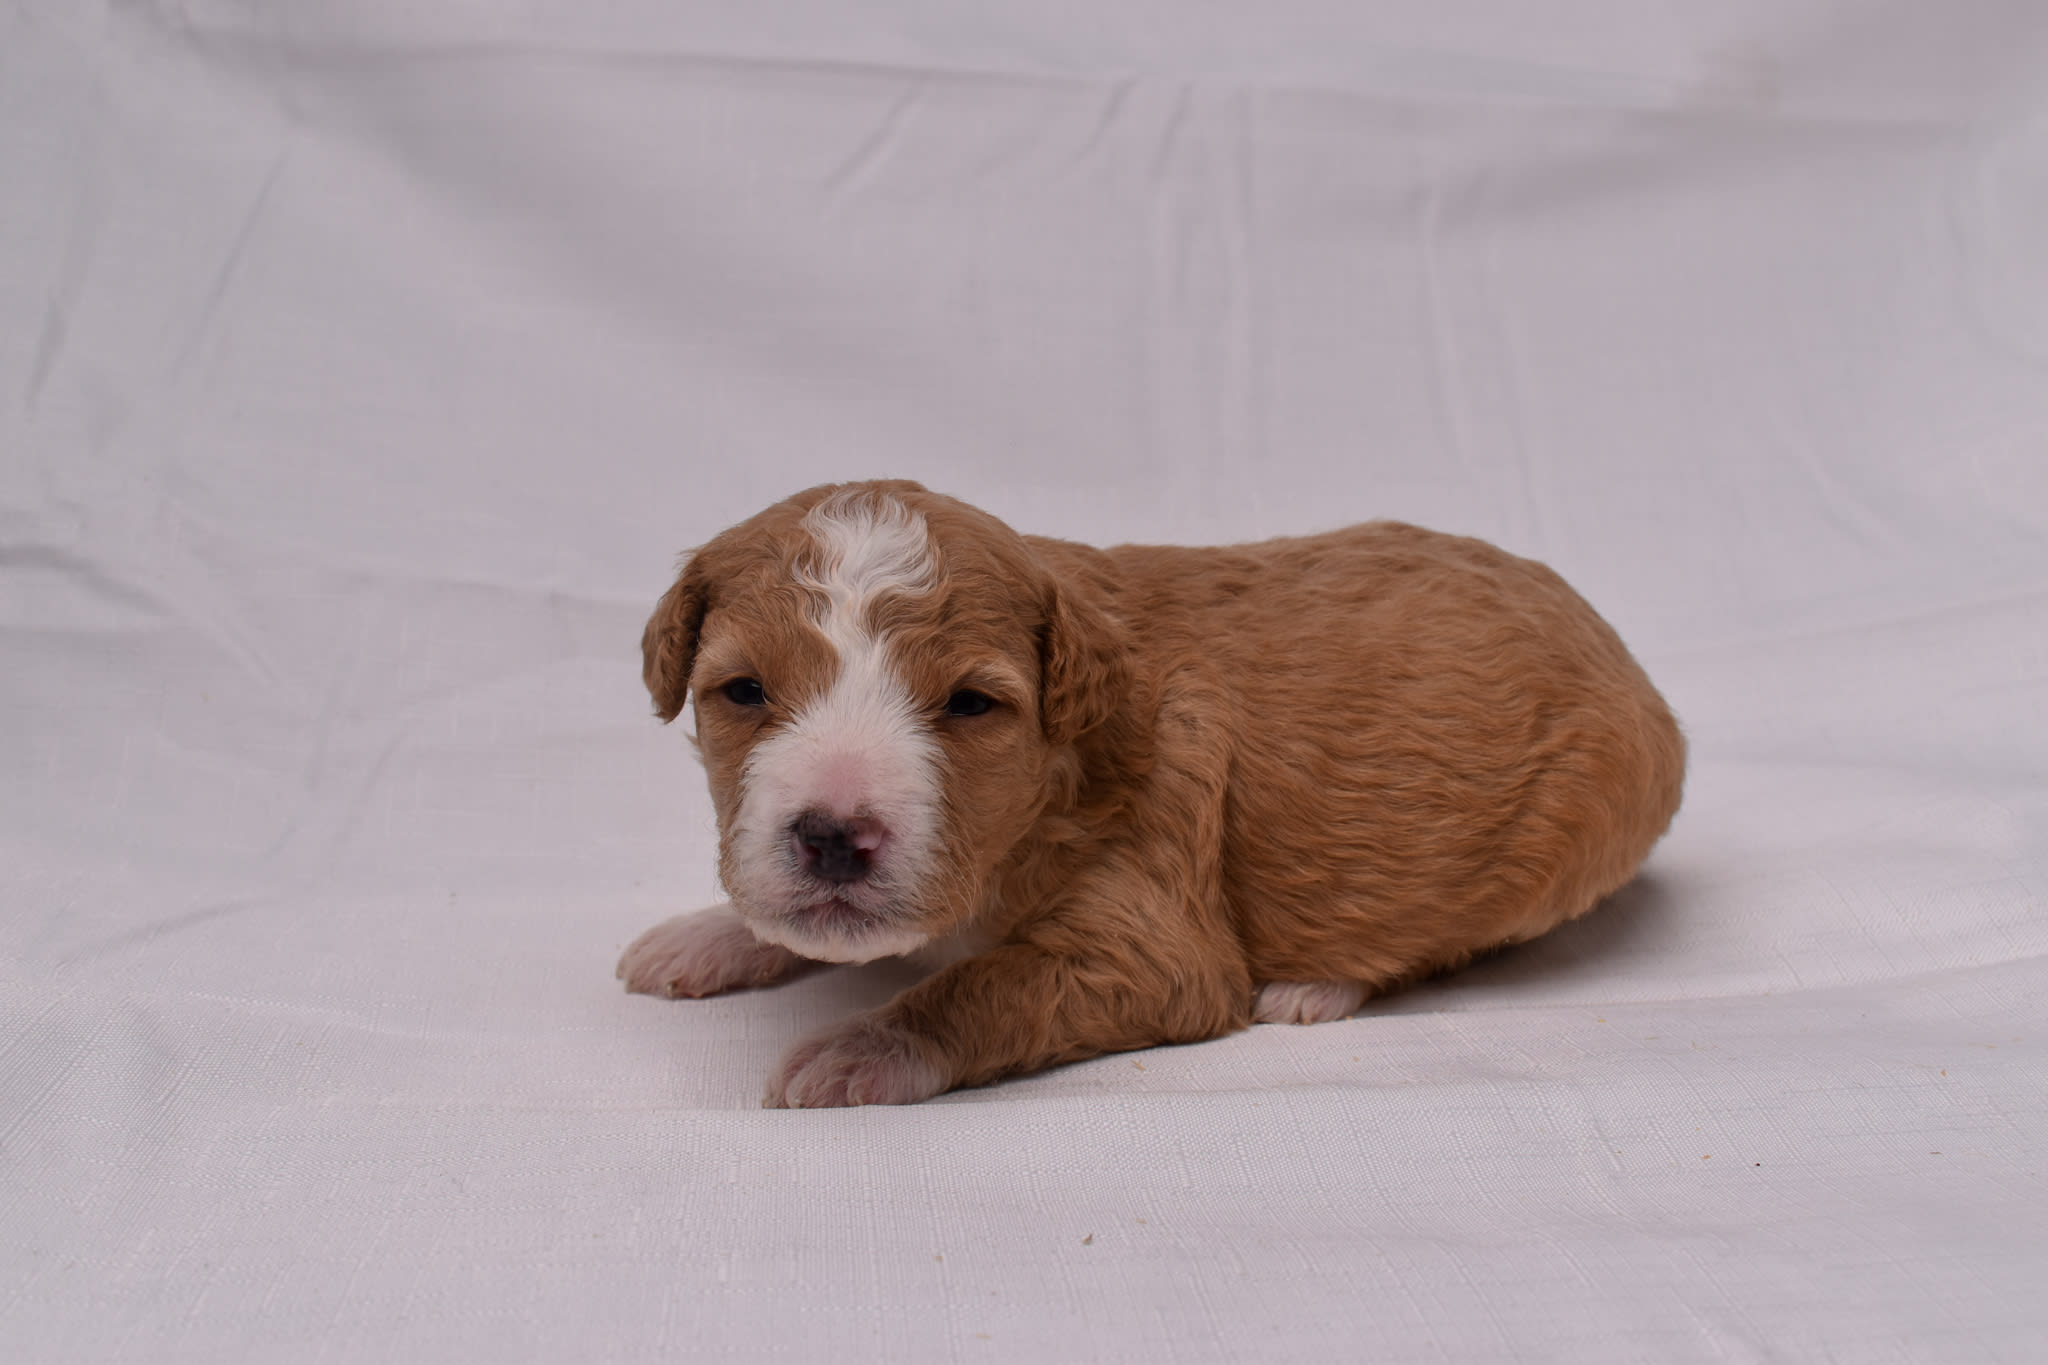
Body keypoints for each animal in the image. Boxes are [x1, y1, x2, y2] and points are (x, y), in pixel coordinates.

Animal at [618, 480, 1679, 1113]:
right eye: (743, 691)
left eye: (971, 703)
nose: (834, 836)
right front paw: (706, 934)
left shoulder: (1155, 921)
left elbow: (984, 982)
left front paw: (861, 1047)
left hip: (1559, 834)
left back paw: (1318, 984)